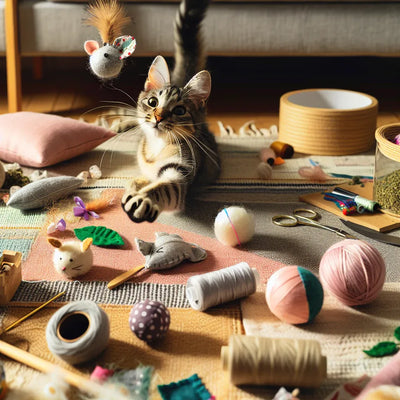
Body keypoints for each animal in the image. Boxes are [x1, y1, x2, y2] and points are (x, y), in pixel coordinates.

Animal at [120, 0, 220, 223]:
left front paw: (143, 199)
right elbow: (135, 181)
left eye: (180, 110)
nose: (158, 117)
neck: (155, 149)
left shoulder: (180, 170)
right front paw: (134, 188)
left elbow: (162, 187)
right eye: (153, 102)